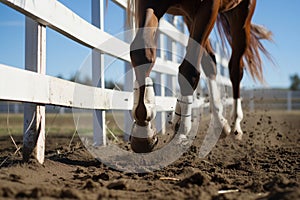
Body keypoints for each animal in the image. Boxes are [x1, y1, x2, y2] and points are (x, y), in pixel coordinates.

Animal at [126, 0, 272, 153]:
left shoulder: (209, 7)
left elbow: (189, 70)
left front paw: (182, 130)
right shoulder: (148, 3)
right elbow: (142, 53)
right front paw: (143, 132)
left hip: (242, 14)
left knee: (235, 69)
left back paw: (235, 125)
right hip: (190, 17)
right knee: (210, 63)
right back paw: (217, 122)